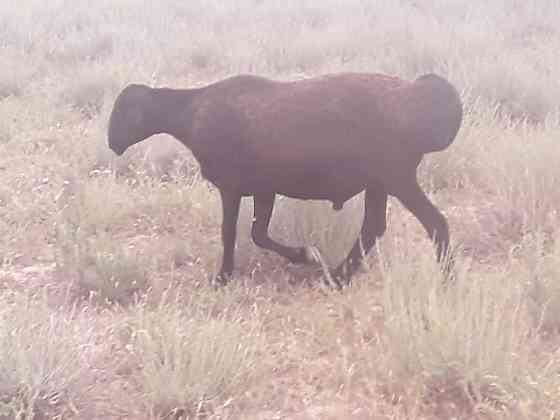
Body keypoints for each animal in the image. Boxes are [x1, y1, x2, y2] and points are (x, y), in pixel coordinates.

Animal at [107, 72, 462, 288]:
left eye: (122, 112)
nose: (111, 142)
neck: (191, 112)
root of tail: (416, 97)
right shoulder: (264, 189)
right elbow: (258, 234)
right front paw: (305, 255)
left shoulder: (231, 188)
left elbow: (229, 233)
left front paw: (223, 277)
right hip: (380, 183)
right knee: (373, 228)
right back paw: (338, 276)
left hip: (398, 178)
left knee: (435, 223)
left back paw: (446, 278)